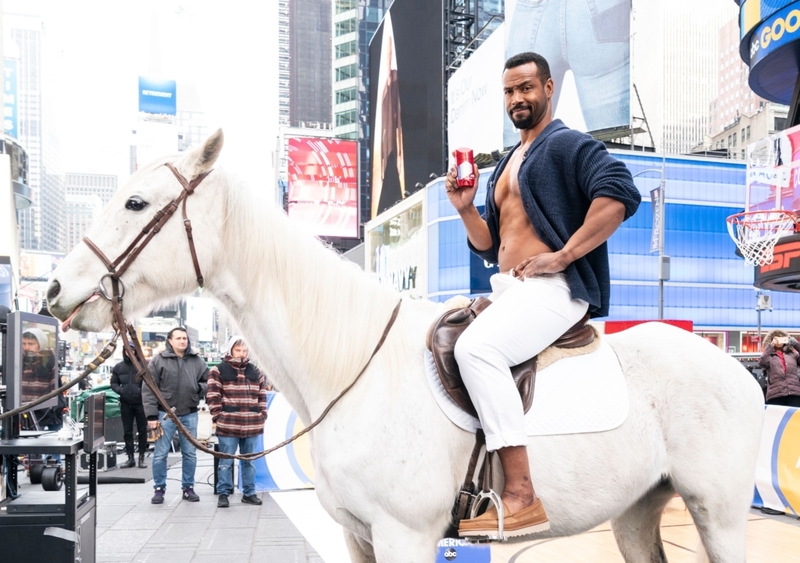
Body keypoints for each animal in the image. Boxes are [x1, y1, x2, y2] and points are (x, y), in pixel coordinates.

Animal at [48, 130, 764, 560]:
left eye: (137, 202)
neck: (352, 366)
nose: (57, 289)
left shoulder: (405, 536)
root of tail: (738, 371)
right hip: (639, 509)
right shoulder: (358, 536)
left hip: (721, 513)